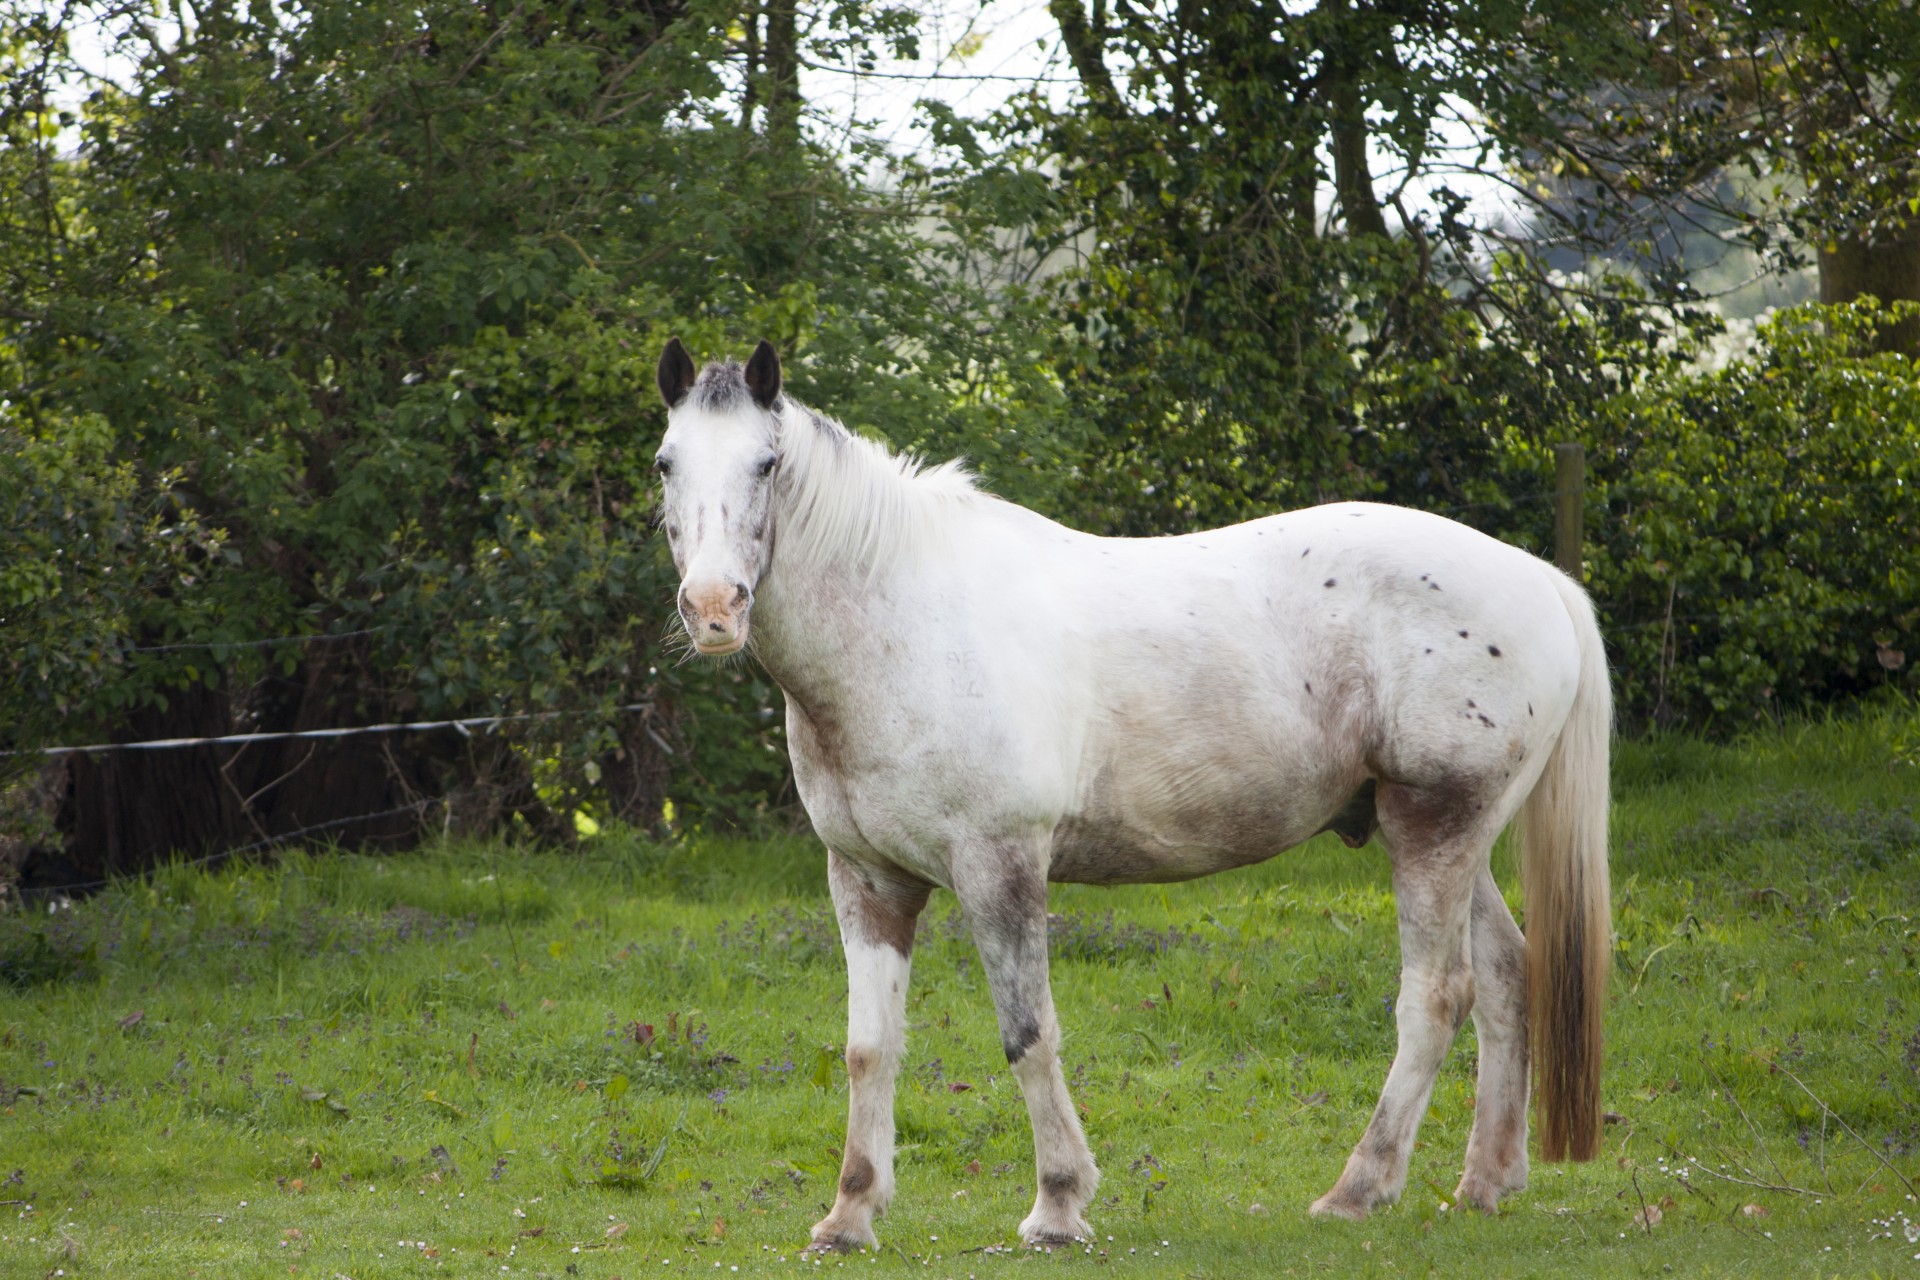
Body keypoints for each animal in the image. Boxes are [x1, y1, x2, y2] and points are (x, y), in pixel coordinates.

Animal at [652, 339, 1612, 1251]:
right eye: (666, 463)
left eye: (766, 464)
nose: (713, 608)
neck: (906, 623)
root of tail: (1542, 580)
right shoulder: (868, 881)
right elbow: (869, 1048)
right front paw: (850, 1215)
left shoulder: (1000, 868)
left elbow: (1028, 1035)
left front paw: (1057, 1205)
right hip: (1446, 838)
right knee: (1505, 975)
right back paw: (1486, 1181)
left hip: (1432, 830)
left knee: (1436, 996)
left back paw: (1359, 1188)